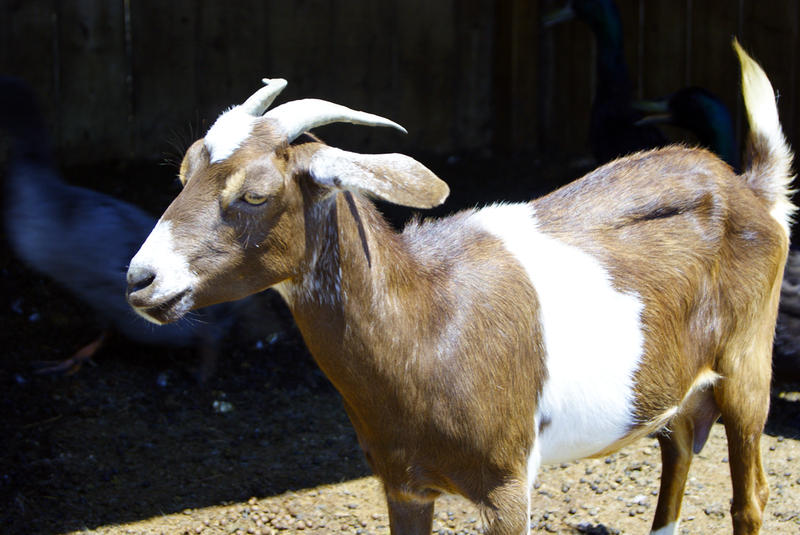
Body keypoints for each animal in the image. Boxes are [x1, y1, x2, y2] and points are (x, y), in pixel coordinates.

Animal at [126, 43, 792, 535]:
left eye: (255, 193)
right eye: (183, 172)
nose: (140, 279)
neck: (427, 321)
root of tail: (751, 189)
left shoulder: (507, 485)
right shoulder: (402, 483)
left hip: (748, 366)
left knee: (751, 495)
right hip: (676, 382)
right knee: (677, 452)